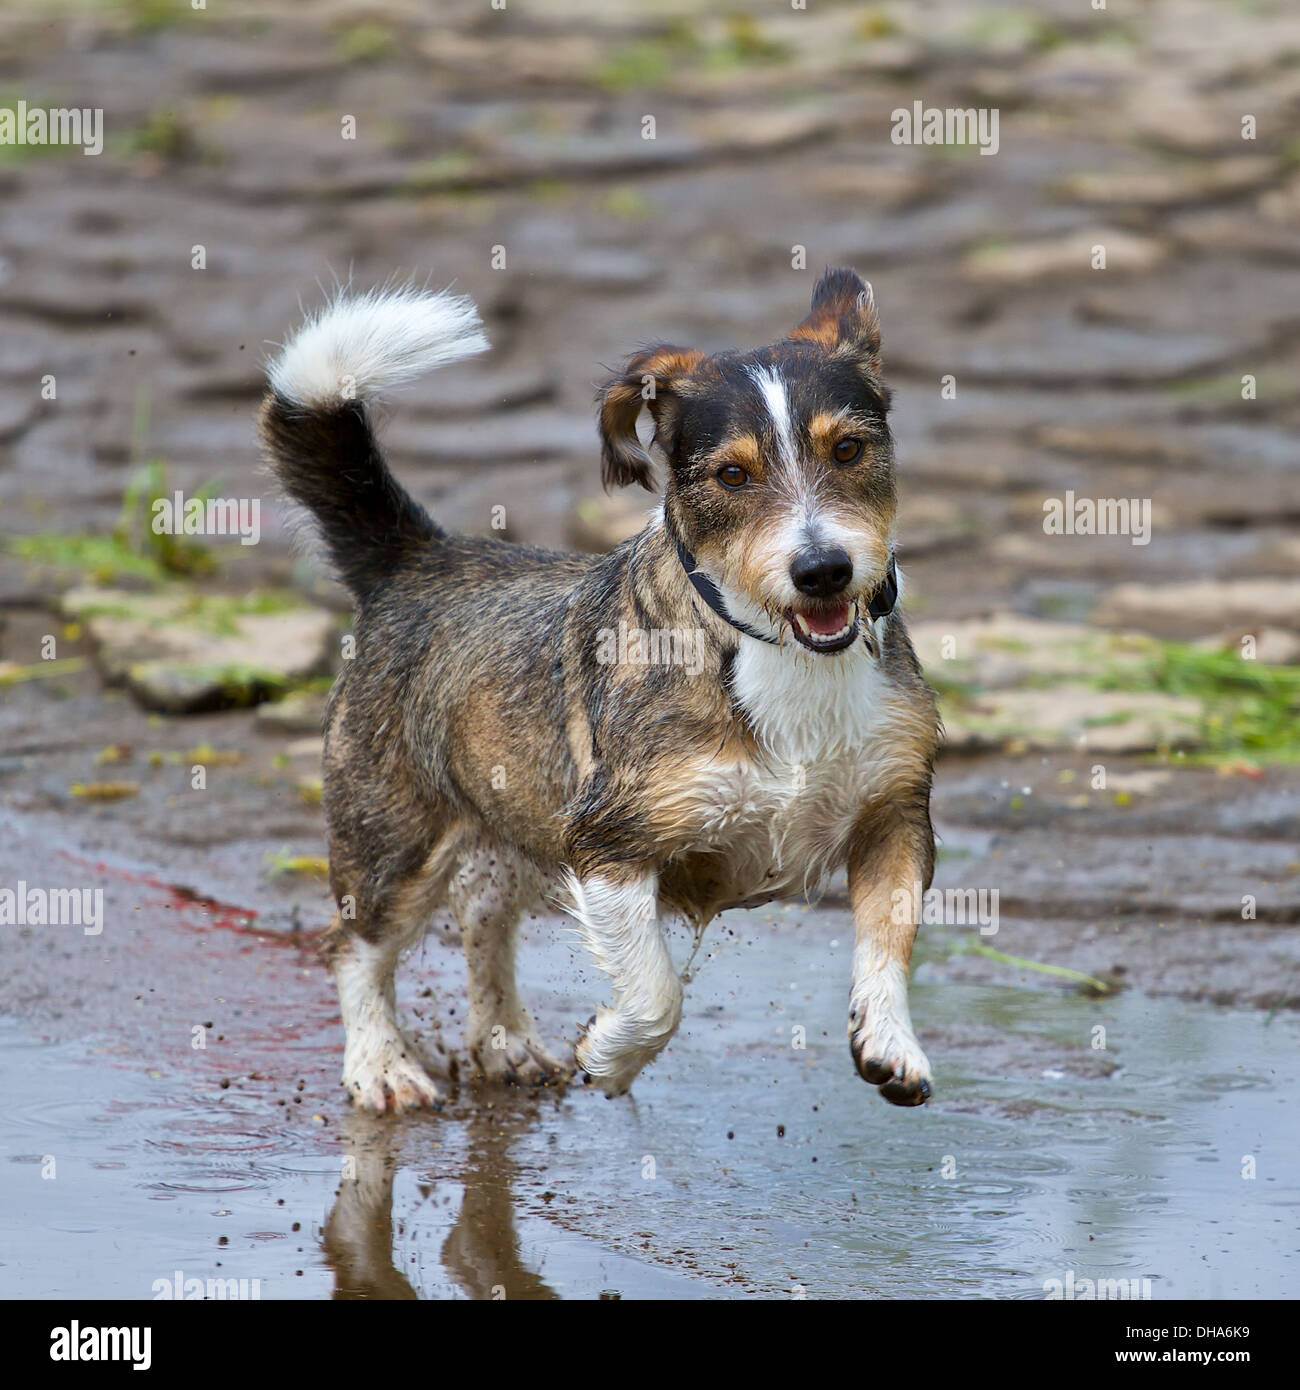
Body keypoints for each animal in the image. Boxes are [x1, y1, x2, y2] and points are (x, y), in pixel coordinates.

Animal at [258, 268, 939, 1117]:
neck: (771, 653)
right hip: (394, 840)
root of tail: (419, 558)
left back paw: (506, 1042)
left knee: (483, 921)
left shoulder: (895, 816)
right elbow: (655, 994)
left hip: (512, 823)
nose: (823, 571)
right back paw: (380, 1066)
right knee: (355, 947)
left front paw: (890, 1043)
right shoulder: (608, 846)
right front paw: (612, 1056)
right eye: (733, 475)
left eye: (848, 449)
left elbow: (890, 940)